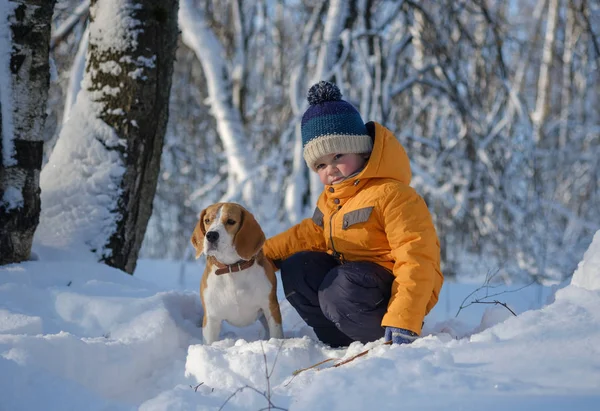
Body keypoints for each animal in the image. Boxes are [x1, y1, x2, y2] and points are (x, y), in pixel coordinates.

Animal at [190, 203, 284, 344]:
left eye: (230, 221)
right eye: (207, 220)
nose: (211, 235)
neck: (232, 269)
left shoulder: (271, 308)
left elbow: (276, 335)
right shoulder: (212, 318)